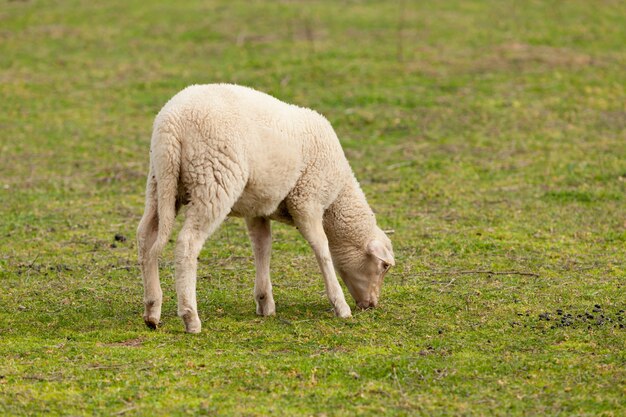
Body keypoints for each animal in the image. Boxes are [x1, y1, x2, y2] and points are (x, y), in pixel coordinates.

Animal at [136, 83, 392, 332]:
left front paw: (265, 302)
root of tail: (172, 125)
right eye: (385, 266)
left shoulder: (257, 209)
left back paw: (152, 311)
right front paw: (340, 306)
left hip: (160, 182)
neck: (337, 199)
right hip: (213, 179)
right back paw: (190, 317)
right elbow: (322, 249)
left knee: (146, 237)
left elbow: (262, 247)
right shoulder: (306, 200)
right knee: (187, 243)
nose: (371, 305)